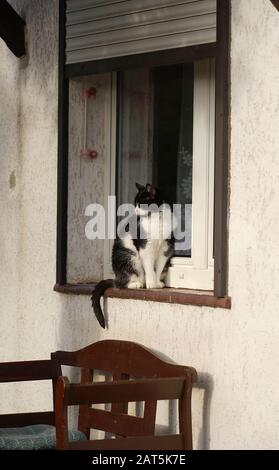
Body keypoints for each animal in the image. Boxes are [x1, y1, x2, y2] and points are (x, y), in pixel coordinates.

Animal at [92, 182, 175, 328]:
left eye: (140, 203)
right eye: (135, 204)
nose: (135, 211)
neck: (157, 218)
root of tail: (115, 277)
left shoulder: (165, 250)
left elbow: (158, 268)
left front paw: (156, 283)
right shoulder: (145, 248)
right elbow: (149, 268)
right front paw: (151, 284)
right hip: (130, 258)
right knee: (121, 284)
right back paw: (137, 284)